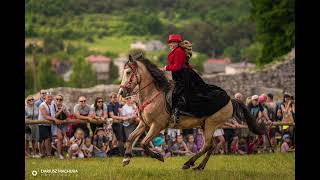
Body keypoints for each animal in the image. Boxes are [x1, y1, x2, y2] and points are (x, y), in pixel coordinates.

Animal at [117, 54, 264, 170]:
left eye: (128, 72)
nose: (121, 92)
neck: (153, 95)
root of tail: (231, 100)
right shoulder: (144, 124)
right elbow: (130, 138)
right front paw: (126, 158)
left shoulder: (157, 126)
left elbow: (143, 143)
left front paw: (158, 156)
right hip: (205, 126)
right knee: (211, 146)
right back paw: (199, 166)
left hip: (211, 124)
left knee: (207, 145)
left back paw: (188, 163)